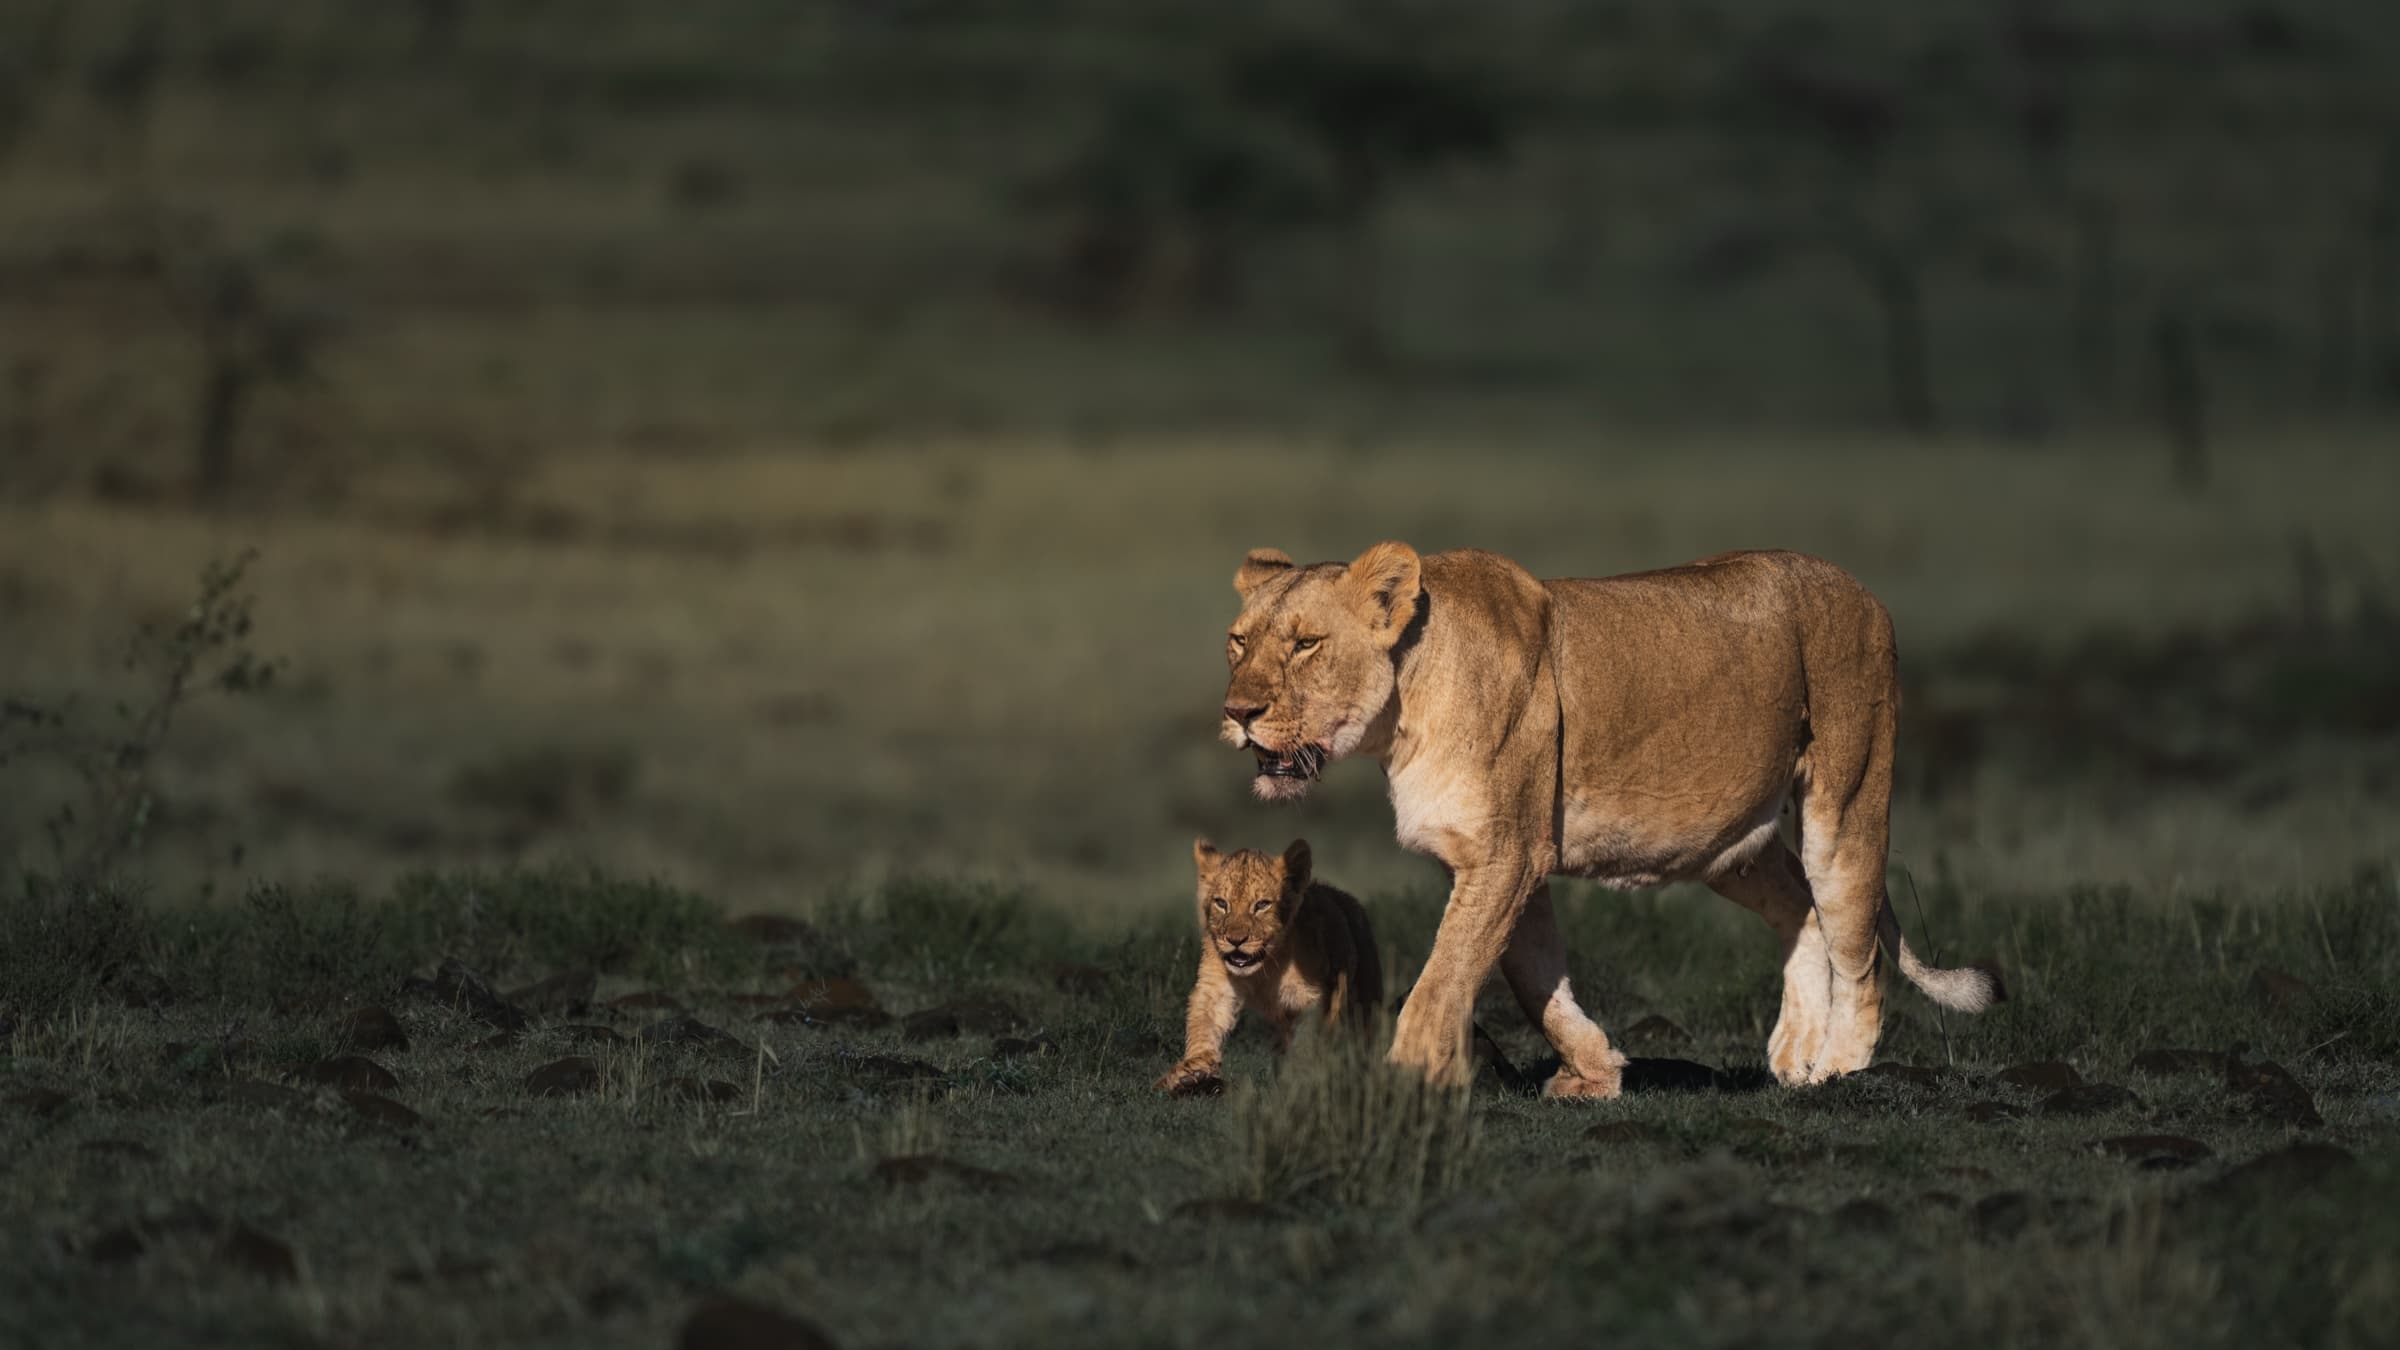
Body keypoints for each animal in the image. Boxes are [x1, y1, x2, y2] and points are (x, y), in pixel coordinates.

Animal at [1155, 837, 1384, 1097]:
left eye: (1262, 905)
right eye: (1222, 903)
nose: (1235, 940)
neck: (1265, 967)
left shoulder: (1310, 996)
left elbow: (1306, 1041)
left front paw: (1299, 1078)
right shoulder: (1216, 985)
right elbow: (1204, 1023)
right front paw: (1192, 1071)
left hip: (1363, 1002)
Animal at [1216, 543, 2001, 1097]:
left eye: (1306, 643)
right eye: (1238, 642)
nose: (1237, 713)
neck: (1400, 714)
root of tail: (1864, 592)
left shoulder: (1507, 853)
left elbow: (1443, 979)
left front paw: (1407, 1078)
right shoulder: (1506, 858)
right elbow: (1532, 975)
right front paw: (1595, 1072)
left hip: (1848, 797)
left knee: (1857, 945)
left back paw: (1839, 1069)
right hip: (1726, 842)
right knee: (1801, 907)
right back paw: (1794, 1055)